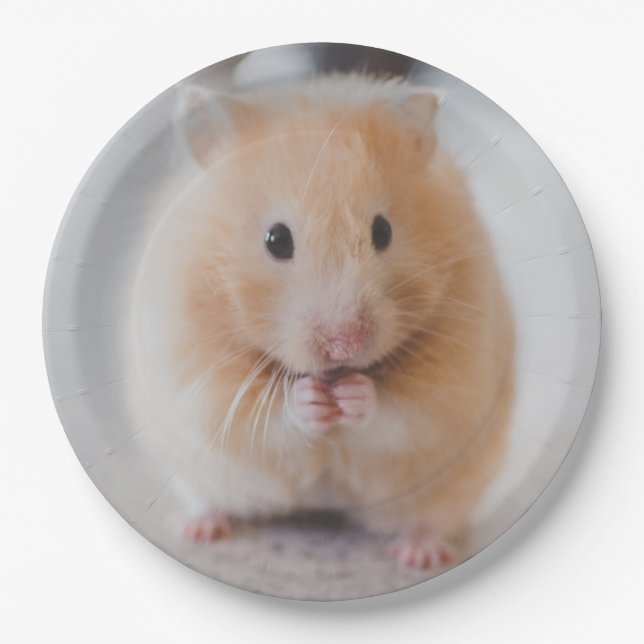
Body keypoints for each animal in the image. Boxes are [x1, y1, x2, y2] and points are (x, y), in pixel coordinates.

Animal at [128, 74, 514, 570]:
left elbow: (403, 413)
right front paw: (311, 399)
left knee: (429, 518)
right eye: (276, 239)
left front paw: (353, 395)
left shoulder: (455, 381)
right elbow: (263, 416)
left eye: (383, 231)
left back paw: (419, 555)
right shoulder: (197, 379)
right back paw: (196, 530)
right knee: (213, 500)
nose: (344, 347)